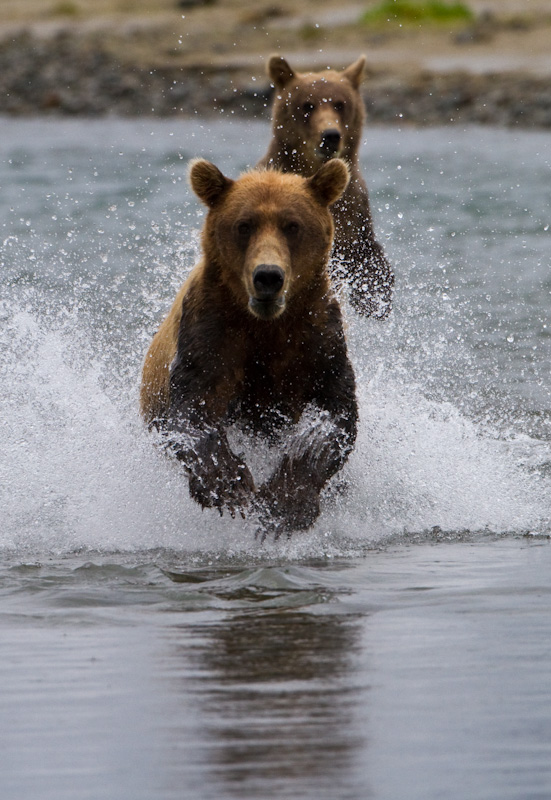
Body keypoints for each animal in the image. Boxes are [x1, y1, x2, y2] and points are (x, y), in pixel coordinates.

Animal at [140, 157, 360, 536]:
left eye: (292, 225)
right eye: (244, 225)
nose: (268, 277)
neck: (265, 325)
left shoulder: (317, 336)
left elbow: (333, 415)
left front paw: (284, 503)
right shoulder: (212, 332)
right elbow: (195, 407)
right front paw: (230, 485)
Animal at [256, 53, 394, 320]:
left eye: (340, 104)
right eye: (307, 105)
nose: (330, 135)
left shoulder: (354, 214)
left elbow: (369, 262)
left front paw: (375, 303)